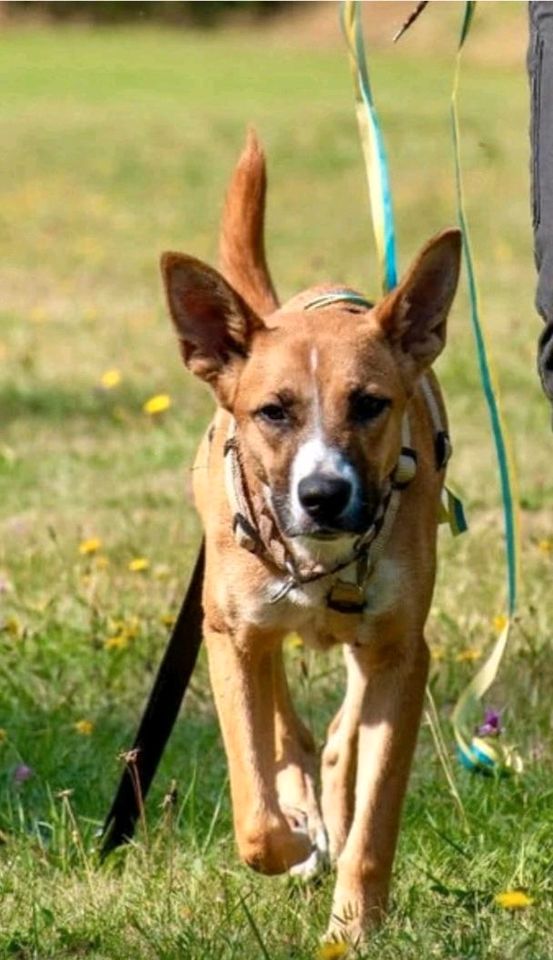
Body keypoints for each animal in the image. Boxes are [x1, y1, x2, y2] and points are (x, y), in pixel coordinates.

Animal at [161, 129, 462, 944]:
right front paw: (293, 841)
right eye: (273, 412)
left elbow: (375, 817)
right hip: (247, 629)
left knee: (334, 744)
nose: (324, 496)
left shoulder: (402, 653)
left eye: (369, 404)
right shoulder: (230, 636)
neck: (319, 562)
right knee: (287, 734)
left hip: (364, 652)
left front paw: (354, 928)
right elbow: (253, 806)